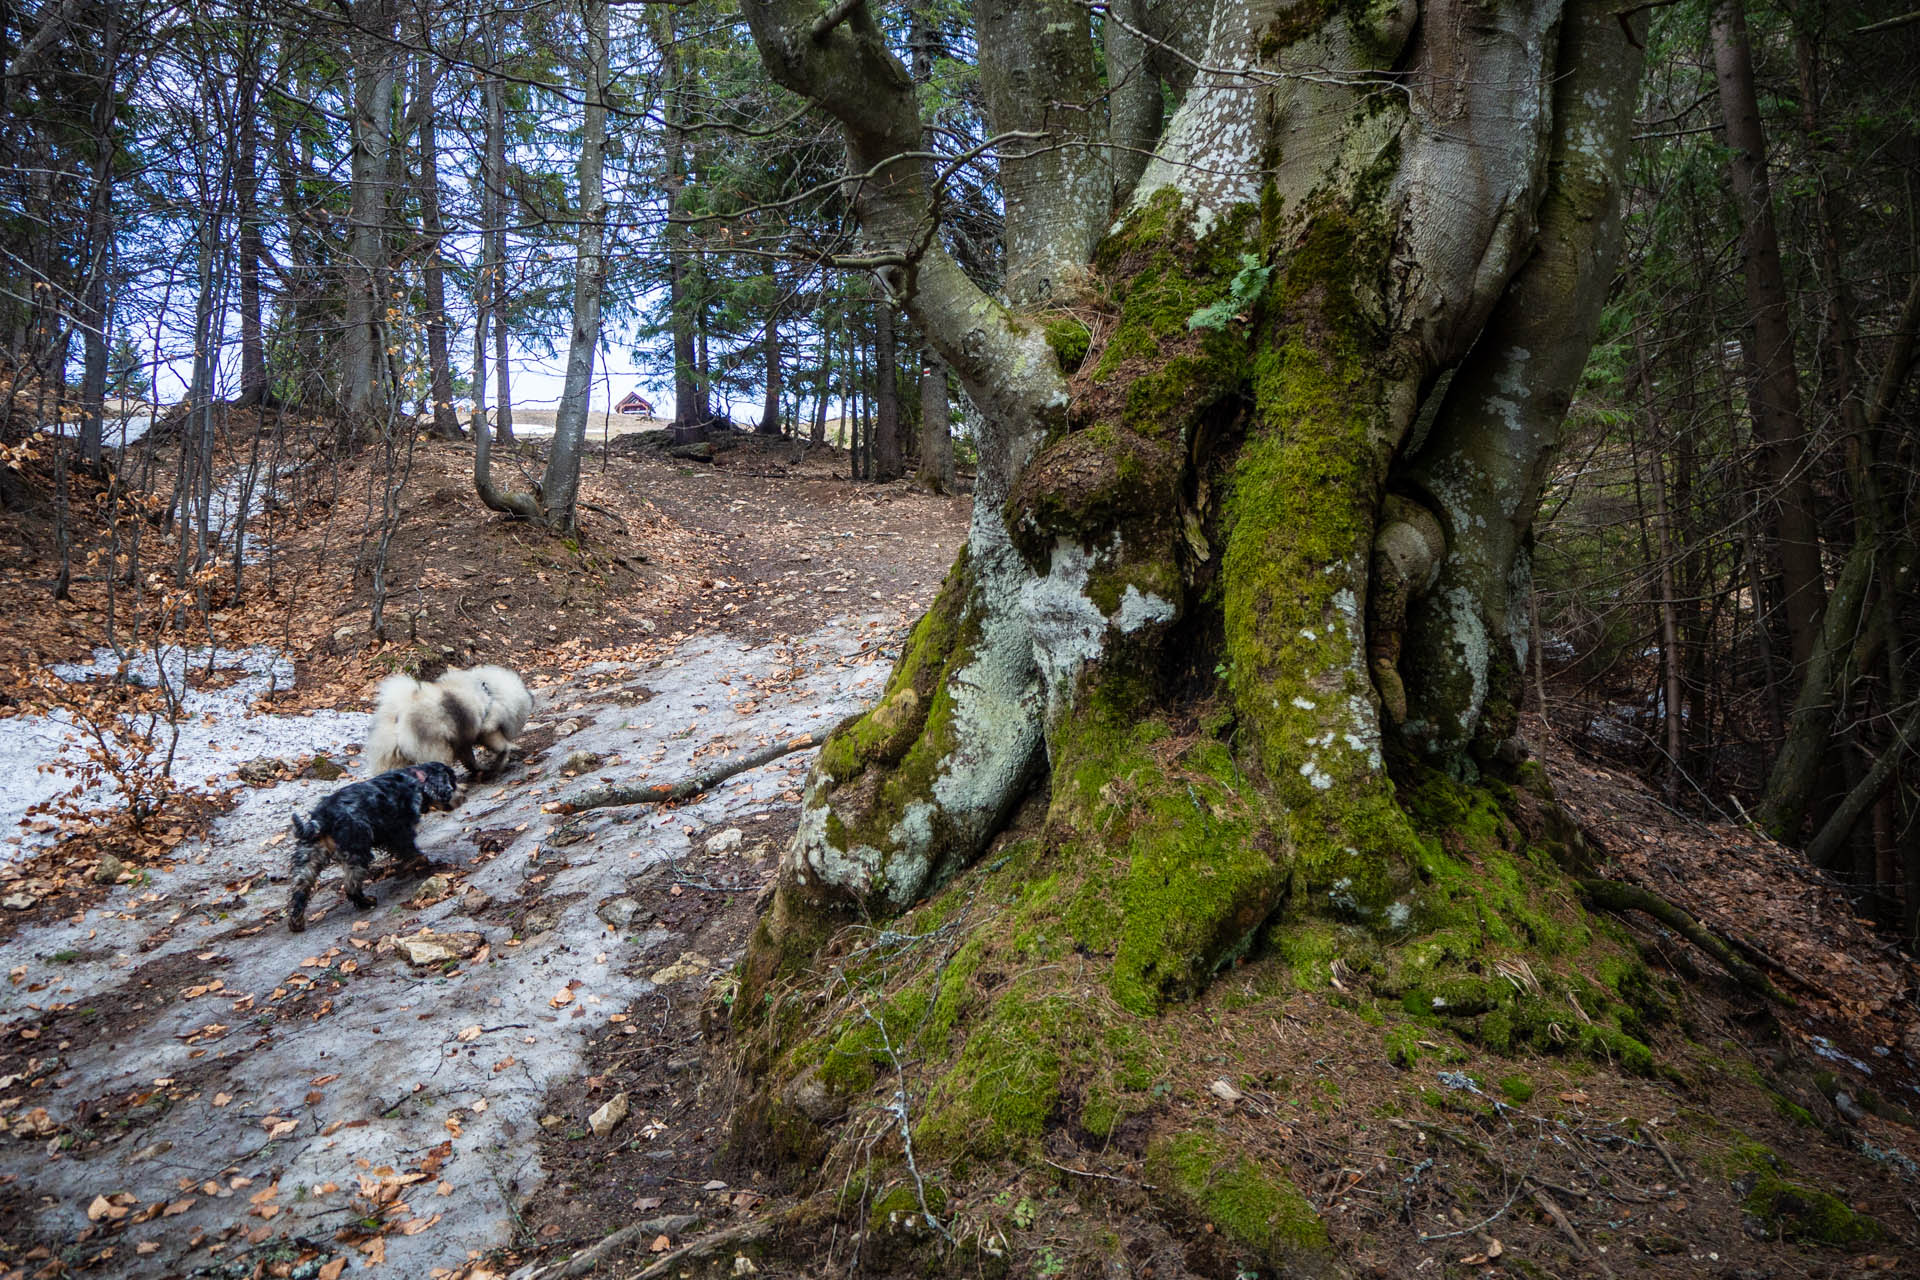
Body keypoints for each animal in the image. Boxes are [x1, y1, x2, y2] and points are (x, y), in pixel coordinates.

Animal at [284, 759, 460, 932]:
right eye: (452, 780)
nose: (456, 800)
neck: (413, 778)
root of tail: (322, 818)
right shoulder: (399, 829)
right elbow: (409, 849)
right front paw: (419, 861)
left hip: (309, 856)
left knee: (300, 889)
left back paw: (296, 922)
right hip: (356, 851)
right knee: (350, 885)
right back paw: (366, 902)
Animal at [364, 667, 533, 775]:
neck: (492, 692)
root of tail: (399, 716)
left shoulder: (463, 740)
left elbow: (469, 759)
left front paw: (479, 769)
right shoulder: (489, 729)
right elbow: (501, 745)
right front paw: (504, 757)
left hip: (392, 756)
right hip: (437, 748)